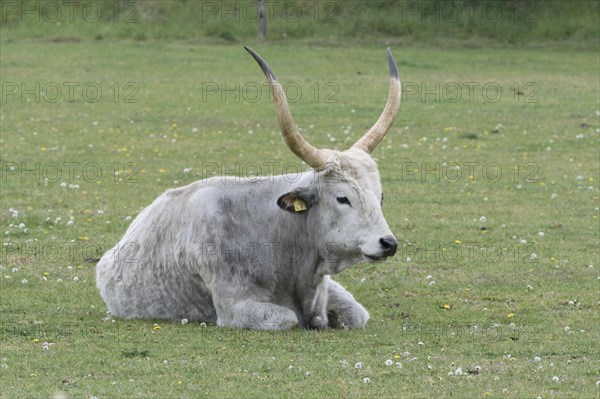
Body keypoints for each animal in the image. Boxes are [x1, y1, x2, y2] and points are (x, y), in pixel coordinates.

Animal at [95, 45, 404, 330]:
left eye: (380, 197)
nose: (388, 243)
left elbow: (356, 315)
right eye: (343, 198)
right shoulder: (235, 309)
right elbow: (288, 319)